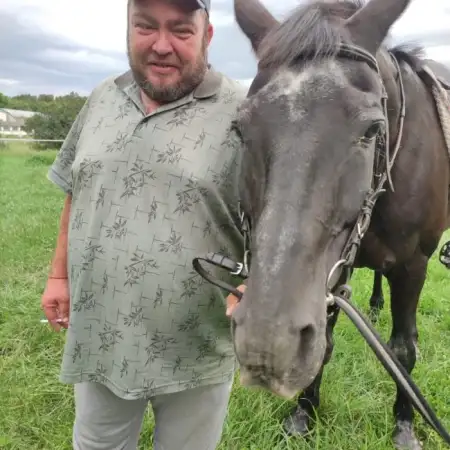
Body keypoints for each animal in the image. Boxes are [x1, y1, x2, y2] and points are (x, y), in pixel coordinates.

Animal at [230, 0, 448, 448]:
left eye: (372, 129)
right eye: (239, 127)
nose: (267, 346)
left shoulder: (414, 265)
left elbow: (403, 351)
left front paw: (404, 426)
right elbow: (324, 343)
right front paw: (303, 413)